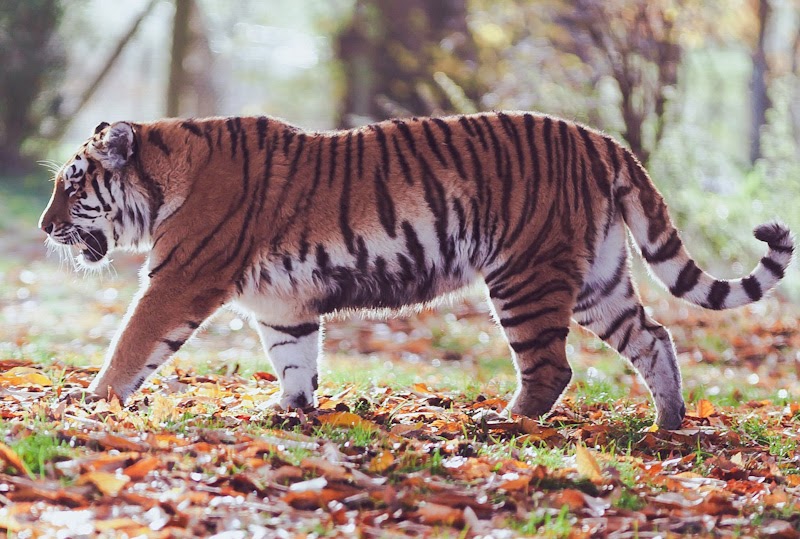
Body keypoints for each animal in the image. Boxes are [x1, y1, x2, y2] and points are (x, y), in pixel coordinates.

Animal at [39, 113, 793, 429]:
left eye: (72, 186)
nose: (45, 228)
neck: (166, 174)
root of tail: (601, 139)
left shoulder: (179, 280)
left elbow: (132, 342)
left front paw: (91, 399)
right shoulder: (283, 305)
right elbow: (294, 358)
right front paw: (289, 409)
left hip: (525, 275)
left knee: (551, 367)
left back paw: (503, 423)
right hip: (597, 281)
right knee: (654, 338)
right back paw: (669, 424)